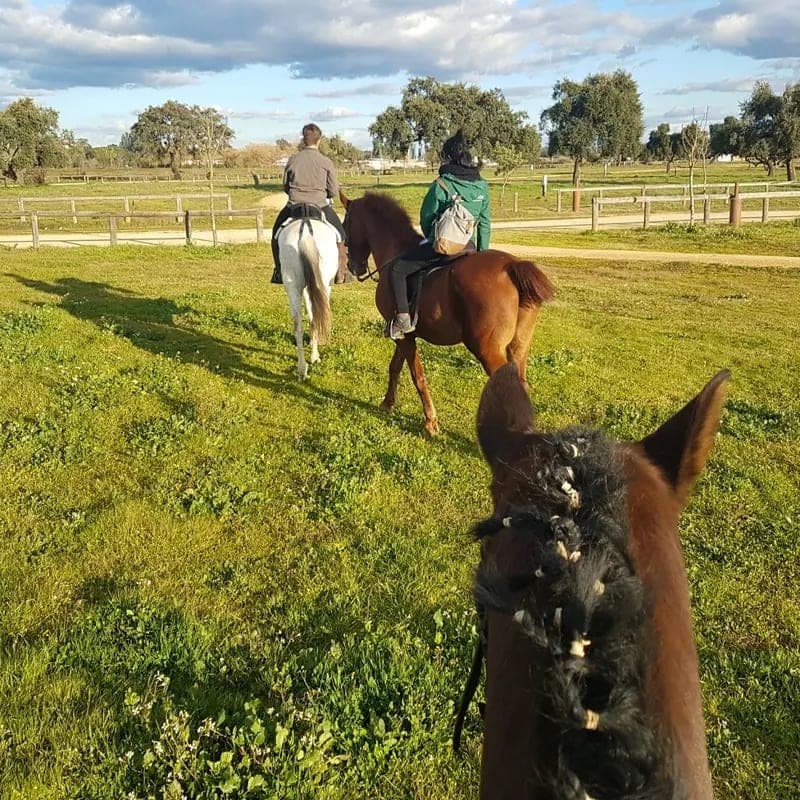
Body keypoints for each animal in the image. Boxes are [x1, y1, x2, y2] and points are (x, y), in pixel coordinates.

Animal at [276, 216, 339, 380]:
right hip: (323, 285)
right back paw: (314, 358)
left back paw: (302, 369)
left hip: (292, 285)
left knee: (298, 325)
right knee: (316, 318)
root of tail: (304, 231)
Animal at [340, 192, 554, 436]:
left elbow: (417, 375)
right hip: (519, 348)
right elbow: (395, 367)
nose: (353, 267)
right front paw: (388, 402)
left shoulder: (405, 336)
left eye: (346, 225)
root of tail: (511, 266)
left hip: (488, 350)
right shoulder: (404, 336)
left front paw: (430, 421)